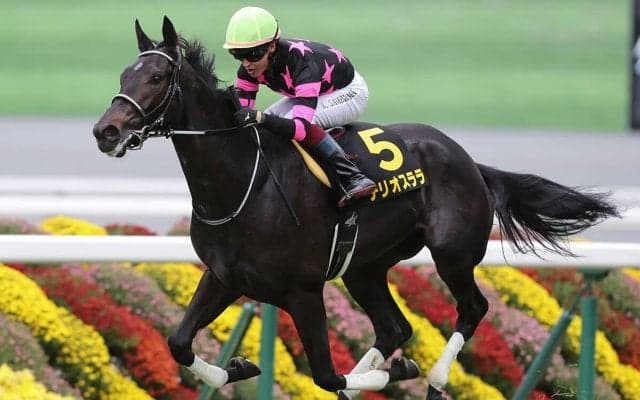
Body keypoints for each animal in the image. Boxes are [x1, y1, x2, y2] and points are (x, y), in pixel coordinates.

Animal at [92, 17, 619, 399]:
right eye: (123, 75)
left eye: (157, 76)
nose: (106, 131)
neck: (242, 182)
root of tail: (469, 160)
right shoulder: (224, 277)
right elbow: (179, 343)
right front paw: (237, 367)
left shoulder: (304, 292)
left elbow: (325, 374)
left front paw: (392, 375)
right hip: (364, 267)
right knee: (394, 327)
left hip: (452, 253)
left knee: (472, 308)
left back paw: (434, 379)